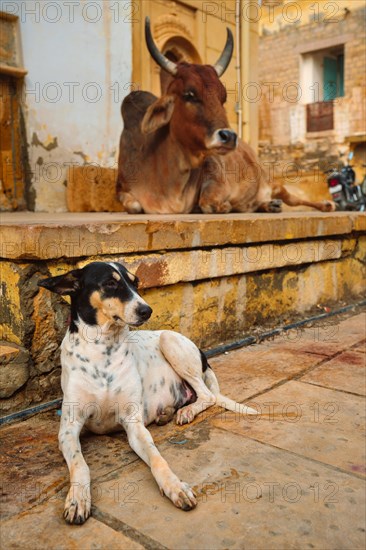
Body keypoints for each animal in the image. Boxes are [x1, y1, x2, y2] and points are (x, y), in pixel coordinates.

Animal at [37, 264, 254, 528]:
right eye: (110, 283)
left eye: (136, 283)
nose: (147, 310)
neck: (103, 348)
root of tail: (204, 355)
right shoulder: (69, 428)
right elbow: (80, 464)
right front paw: (78, 498)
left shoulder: (134, 424)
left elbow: (157, 457)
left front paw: (175, 486)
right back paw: (167, 413)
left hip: (169, 340)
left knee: (207, 395)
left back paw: (185, 412)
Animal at [117, 17, 334, 216]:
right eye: (189, 94)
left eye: (223, 97)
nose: (229, 136)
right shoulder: (122, 188)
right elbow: (134, 206)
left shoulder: (214, 171)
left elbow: (208, 203)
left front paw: (222, 205)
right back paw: (269, 205)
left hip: (273, 183)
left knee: (293, 198)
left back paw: (325, 205)